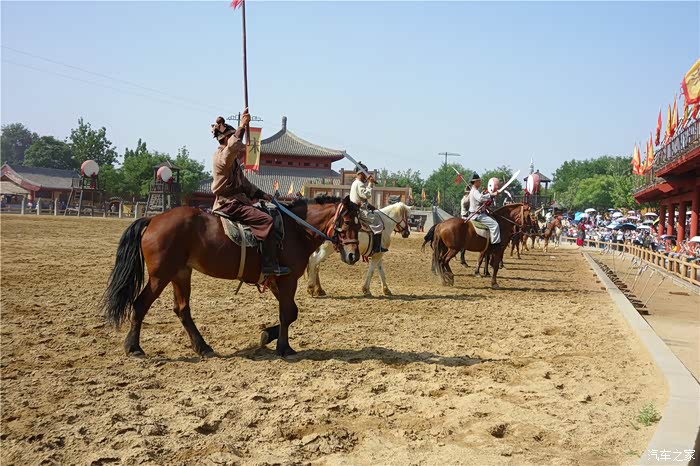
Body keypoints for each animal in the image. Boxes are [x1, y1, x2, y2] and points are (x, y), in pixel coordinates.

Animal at [100, 196, 361, 358]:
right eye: (348, 221)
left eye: (360, 225)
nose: (353, 255)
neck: (294, 230)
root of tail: (153, 219)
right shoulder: (287, 280)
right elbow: (287, 313)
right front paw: (284, 347)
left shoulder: (276, 281)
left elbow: (292, 312)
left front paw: (267, 335)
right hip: (160, 275)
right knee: (140, 304)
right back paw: (134, 347)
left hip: (180, 274)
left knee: (182, 310)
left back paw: (202, 346)